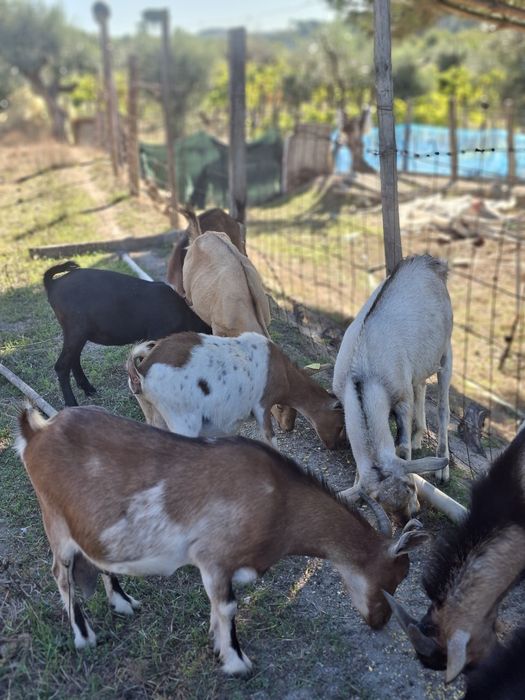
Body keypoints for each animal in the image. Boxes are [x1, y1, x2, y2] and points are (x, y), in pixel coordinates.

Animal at [16, 405, 428, 675]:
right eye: (396, 577)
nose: (378, 622)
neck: (281, 501)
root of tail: (36, 431)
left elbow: (219, 608)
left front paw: (217, 644)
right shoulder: (214, 557)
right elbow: (229, 607)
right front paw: (236, 662)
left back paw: (122, 602)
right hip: (54, 519)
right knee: (61, 573)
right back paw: (85, 636)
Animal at [44, 261, 211, 407]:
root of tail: (52, 284)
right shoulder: (156, 337)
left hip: (77, 334)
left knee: (74, 359)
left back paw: (88, 388)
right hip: (76, 330)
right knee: (61, 366)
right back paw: (72, 403)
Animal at [127, 331, 346, 449]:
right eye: (339, 424)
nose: (333, 447)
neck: (281, 370)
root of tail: (141, 371)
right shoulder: (262, 406)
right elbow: (271, 440)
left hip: (153, 413)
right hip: (182, 418)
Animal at [332, 255, 452, 522]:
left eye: (410, 486)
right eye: (377, 500)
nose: (411, 516)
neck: (363, 375)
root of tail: (430, 262)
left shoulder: (401, 397)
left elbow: (402, 447)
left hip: (446, 347)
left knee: (443, 406)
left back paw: (444, 467)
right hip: (419, 361)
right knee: (421, 384)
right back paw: (419, 437)